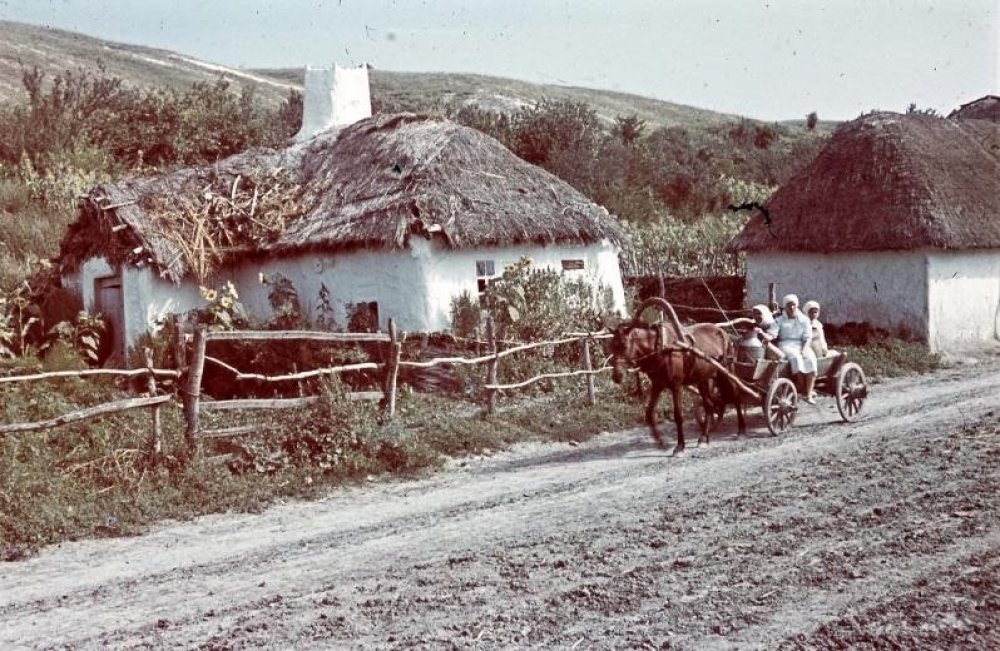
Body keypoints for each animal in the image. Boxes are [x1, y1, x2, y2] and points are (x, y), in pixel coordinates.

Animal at [604, 298, 748, 456]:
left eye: (624, 345)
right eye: (612, 346)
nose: (617, 376)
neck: (660, 347)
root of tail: (723, 332)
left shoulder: (676, 385)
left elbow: (678, 415)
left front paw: (679, 446)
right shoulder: (657, 384)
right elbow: (649, 413)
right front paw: (661, 443)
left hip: (726, 370)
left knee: (736, 396)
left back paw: (741, 430)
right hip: (702, 379)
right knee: (709, 405)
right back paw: (703, 438)